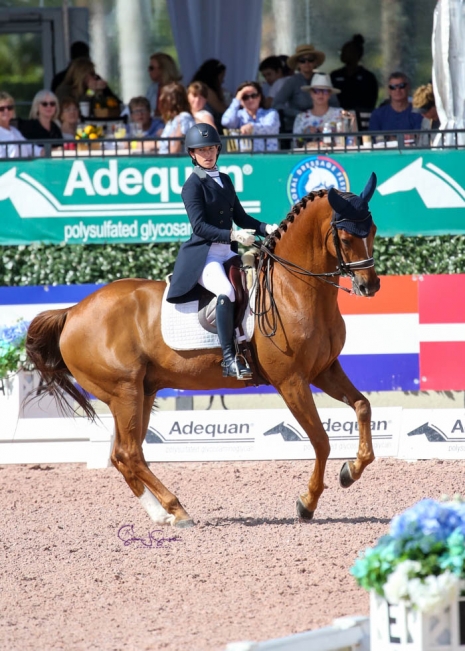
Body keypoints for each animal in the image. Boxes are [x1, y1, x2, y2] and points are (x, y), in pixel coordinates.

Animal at [25, 173, 380, 528]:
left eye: (373, 230)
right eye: (345, 237)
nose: (370, 286)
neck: (292, 289)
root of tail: (73, 310)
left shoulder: (324, 370)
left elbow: (363, 407)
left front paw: (351, 471)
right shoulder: (291, 380)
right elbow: (320, 439)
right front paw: (307, 502)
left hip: (142, 391)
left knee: (124, 454)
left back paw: (161, 514)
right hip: (123, 392)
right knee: (129, 453)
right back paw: (178, 510)